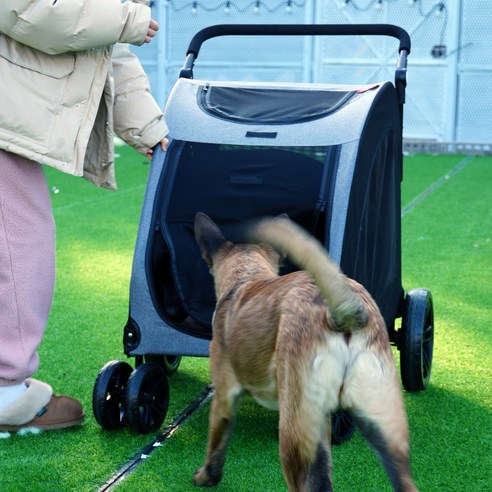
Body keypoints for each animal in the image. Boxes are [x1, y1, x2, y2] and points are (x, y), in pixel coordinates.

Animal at [194, 212, 418, 492]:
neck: (246, 279)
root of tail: (342, 313)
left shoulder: (224, 396)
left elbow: (216, 444)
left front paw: (206, 477)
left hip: (294, 434)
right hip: (382, 430)